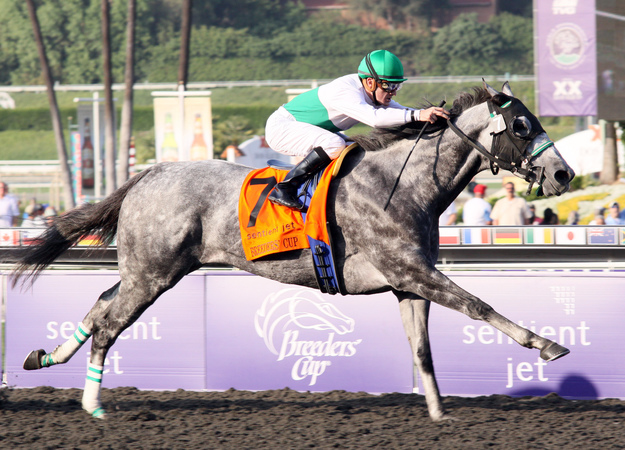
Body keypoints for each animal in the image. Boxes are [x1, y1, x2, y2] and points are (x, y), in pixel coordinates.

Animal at [14, 81, 572, 422]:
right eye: (522, 126)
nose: (564, 174)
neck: (405, 183)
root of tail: (147, 173)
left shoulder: (408, 283)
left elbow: (422, 350)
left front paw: (438, 412)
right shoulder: (411, 271)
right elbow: (480, 305)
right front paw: (547, 344)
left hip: (146, 270)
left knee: (99, 307)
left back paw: (46, 357)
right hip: (154, 273)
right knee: (109, 325)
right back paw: (93, 406)